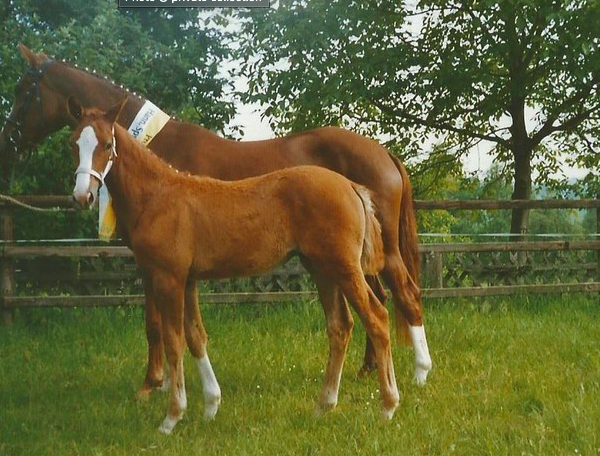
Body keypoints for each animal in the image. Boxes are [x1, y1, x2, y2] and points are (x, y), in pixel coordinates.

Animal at [0, 43, 432, 392]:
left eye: (23, 92)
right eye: (74, 143)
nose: (8, 143)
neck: (153, 154)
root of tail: (384, 153)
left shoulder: (156, 263)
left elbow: (154, 322)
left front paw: (153, 382)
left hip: (379, 254)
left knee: (405, 295)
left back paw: (418, 374)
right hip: (352, 257)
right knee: (378, 299)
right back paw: (367, 370)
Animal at [69, 98, 398, 432]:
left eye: (107, 144)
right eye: (74, 144)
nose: (83, 196)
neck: (158, 196)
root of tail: (352, 187)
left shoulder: (168, 277)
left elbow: (174, 342)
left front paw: (172, 418)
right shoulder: (189, 280)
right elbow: (196, 336)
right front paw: (210, 406)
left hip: (343, 267)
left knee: (377, 318)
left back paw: (387, 407)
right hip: (321, 268)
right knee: (340, 326)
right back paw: (324, 406)